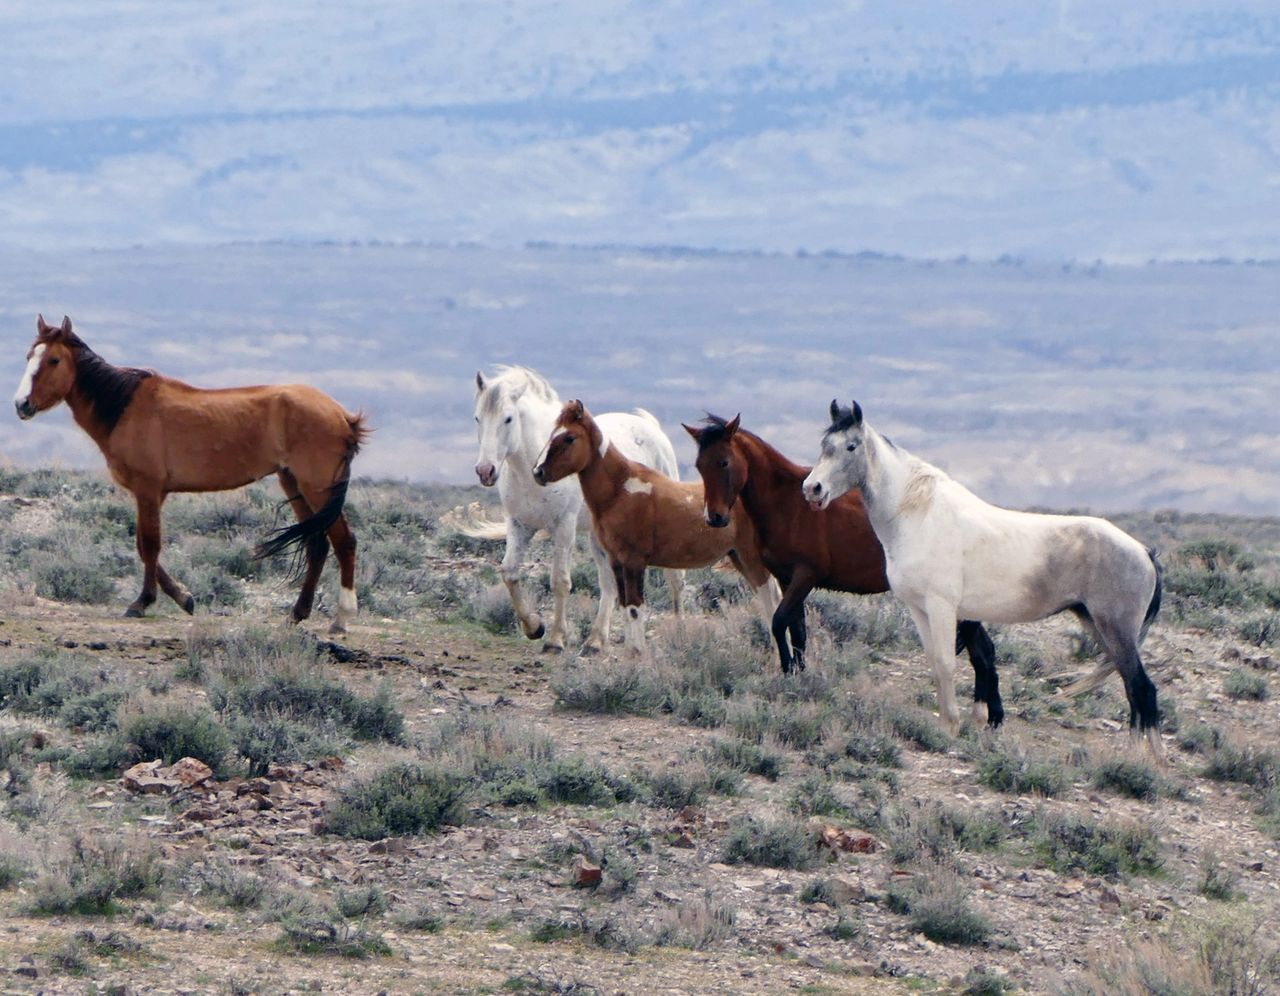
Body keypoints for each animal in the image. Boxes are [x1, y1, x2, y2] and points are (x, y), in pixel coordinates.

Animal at [15, 314, 368, 632]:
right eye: (30, 356)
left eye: (54, 360)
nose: (21, 404)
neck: (125, 407)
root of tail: (342, 415)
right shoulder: (150, 494)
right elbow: (143, 546)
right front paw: (184, 598)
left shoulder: (148, 489)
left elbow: (150, 544)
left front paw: (142, 602)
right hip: (292, 483)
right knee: (316, 545)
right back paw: (297, 614)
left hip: (317, 487)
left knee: (344, 542)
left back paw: (341, 619)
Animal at [471, 363, 686, 652]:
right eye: (477, 418)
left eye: (508, 419)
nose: (486, 471)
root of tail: (650, 425)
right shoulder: (519, 525)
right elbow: (509, 573)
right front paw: (534, 627)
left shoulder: (564, 525)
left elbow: (560, 581)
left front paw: (555, 639)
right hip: (599, 536)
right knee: (609, 583)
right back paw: (596, 640)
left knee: (675, 578)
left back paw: (679, 632)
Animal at [532, 399, 778, 655]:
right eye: (552, 433)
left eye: (569, 437)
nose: (538, 472)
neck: (621, 491)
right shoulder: (616, 561)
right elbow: (625, 606)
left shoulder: (634, 561)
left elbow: (634, 607)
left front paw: (638, 653)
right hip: (738, 557)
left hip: (751, 558)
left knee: (770, 598)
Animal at [686, 414, 1003, 727]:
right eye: (699, 465)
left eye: (724, 462)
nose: (714, 518)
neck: (788, 504)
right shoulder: (787, 579)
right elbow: (797, 630)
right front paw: (800, 676)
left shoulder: (805, 576)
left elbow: (778, 622)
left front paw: (788, 672)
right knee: (983, 648)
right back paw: (992, 716)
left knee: (982, 651)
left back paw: (989, 716)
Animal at [803, 396, 1167, 752]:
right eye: (824, 444)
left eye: (851, 446)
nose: (813, 489)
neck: (919, 514)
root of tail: (1144, 552)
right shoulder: (919, 609)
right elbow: (935, 662)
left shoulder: (942, 607)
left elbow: (947, 663)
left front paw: (951, 728)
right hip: (1097, 624)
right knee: (1132, 686)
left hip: (1115, 629)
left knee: (1142, 688)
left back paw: (1146, 761)